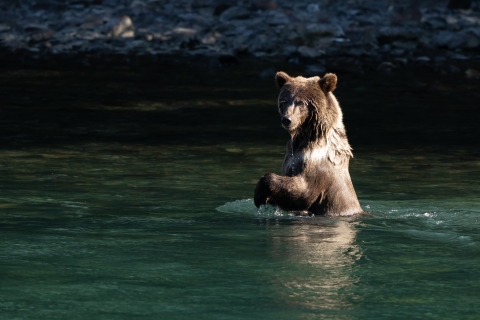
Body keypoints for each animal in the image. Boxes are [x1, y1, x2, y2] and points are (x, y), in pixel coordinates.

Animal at [253, 72, 362, 216]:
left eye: (300, 102)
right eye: (284, 101)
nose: (287, 119)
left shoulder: (319, 165)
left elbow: (303, 193)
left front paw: (260, 194)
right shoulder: (291, 157)